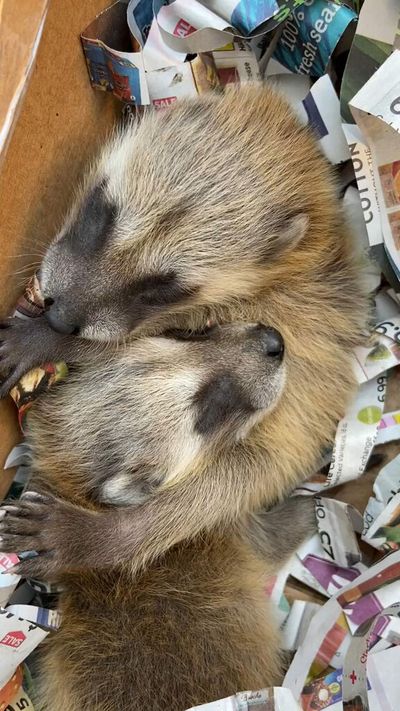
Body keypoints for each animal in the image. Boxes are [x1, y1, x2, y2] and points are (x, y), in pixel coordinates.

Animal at [0, 83, 368, 580]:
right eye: (101, 214)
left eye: (163, 288)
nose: (59, 319)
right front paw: (50, 336)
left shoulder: (273, 317)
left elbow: (119, 343)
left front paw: (50, 340)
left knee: (208, 495)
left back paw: (106, 537)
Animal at [0, 324, 316, 711]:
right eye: (209, 409)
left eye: (191, 334)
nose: (274, 341)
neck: (77, 484)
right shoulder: (224, 530)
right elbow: (271, 538)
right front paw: (305, 507)